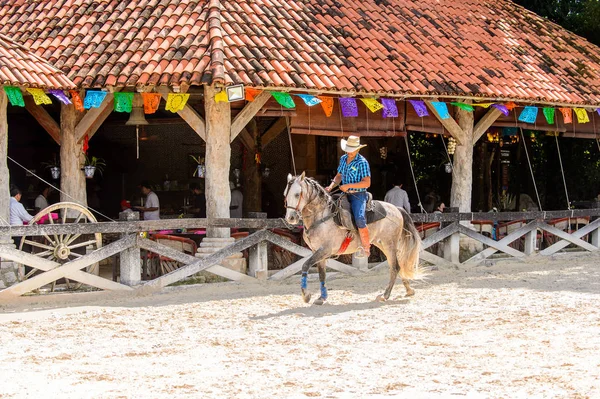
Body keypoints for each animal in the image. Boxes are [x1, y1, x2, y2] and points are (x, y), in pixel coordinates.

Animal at [284, 173, 422, 306]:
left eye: (297, 194)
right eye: (285, 194)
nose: (290, 218)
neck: (321, 217)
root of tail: (396, 208)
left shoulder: (325, 250)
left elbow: (305, 265)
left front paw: (306, 295)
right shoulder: (317, 251)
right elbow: (322, 274)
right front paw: (321, 298)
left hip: (389, 244)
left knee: (395, 267)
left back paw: (385, 295)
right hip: (382, 244)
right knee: (399, 265)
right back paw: (409, 290)